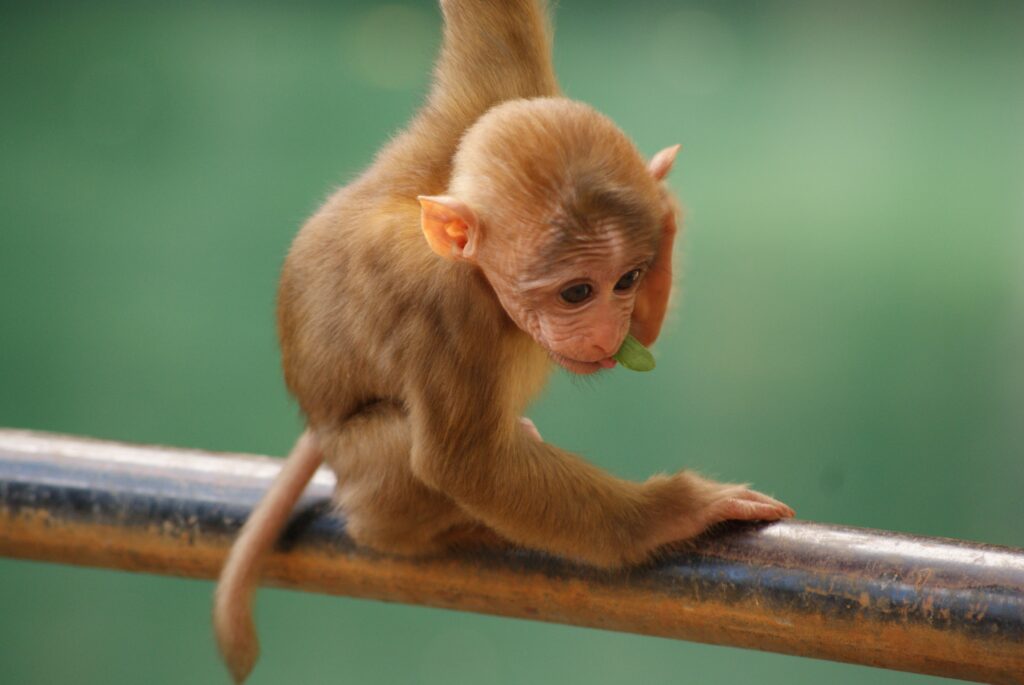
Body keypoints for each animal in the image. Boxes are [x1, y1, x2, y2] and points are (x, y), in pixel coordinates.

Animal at [214, 1, 794, 681]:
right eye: (576, 292)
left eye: (627, 279)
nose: (607, 331)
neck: (481, 278)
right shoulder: (444, 314)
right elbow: (467, 464)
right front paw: (675, 510)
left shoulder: (498, 95)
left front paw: (665, 204)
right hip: (360, 469)